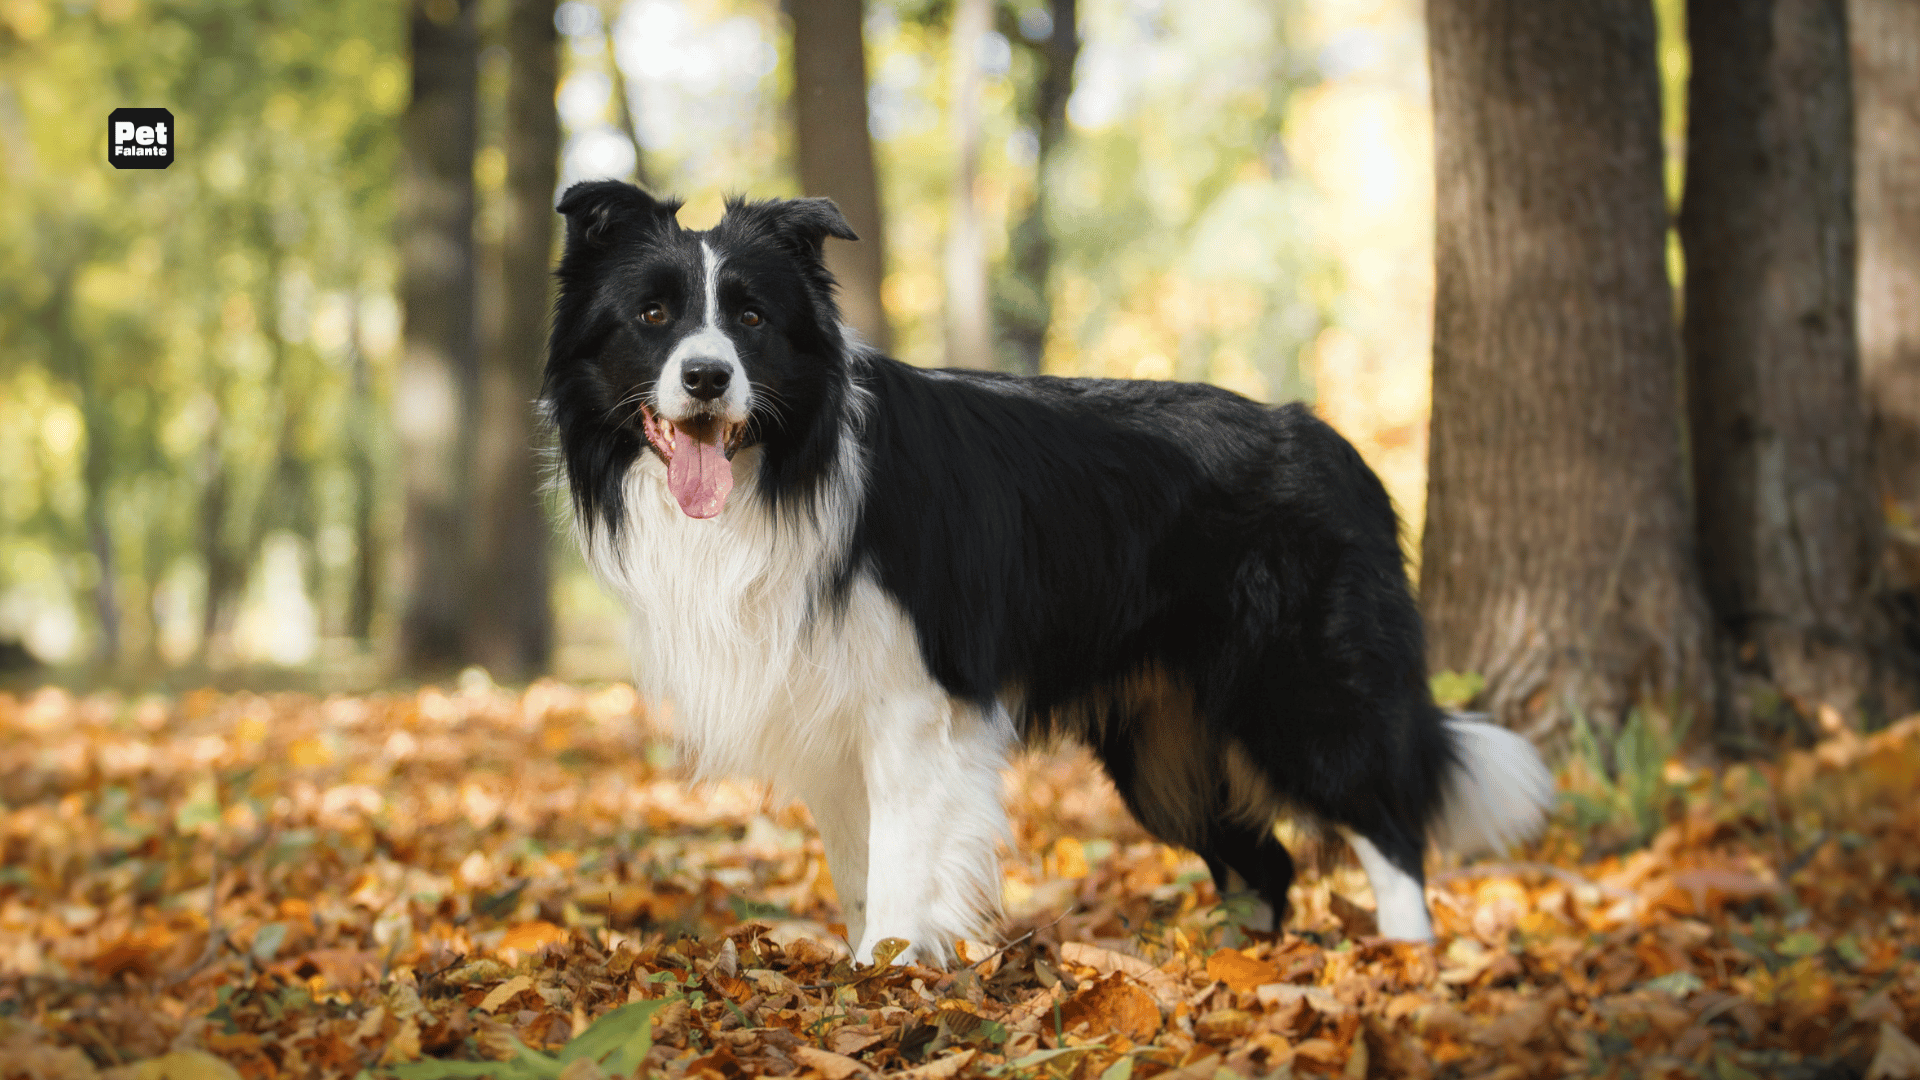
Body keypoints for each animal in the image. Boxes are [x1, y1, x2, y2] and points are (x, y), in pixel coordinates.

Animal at [541, 180, 1559, 960]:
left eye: (751, 318)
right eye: (654, 316)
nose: (707, 378)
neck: (786, 470)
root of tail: (1334, 443)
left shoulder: (914, 709)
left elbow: (902, 876)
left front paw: (882, 984)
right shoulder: (828, 721)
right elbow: (861, 876)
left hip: (1302, 690)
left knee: (1389, 828)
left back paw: (1407, 965)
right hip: (1163, 748)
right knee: (1265, 865)